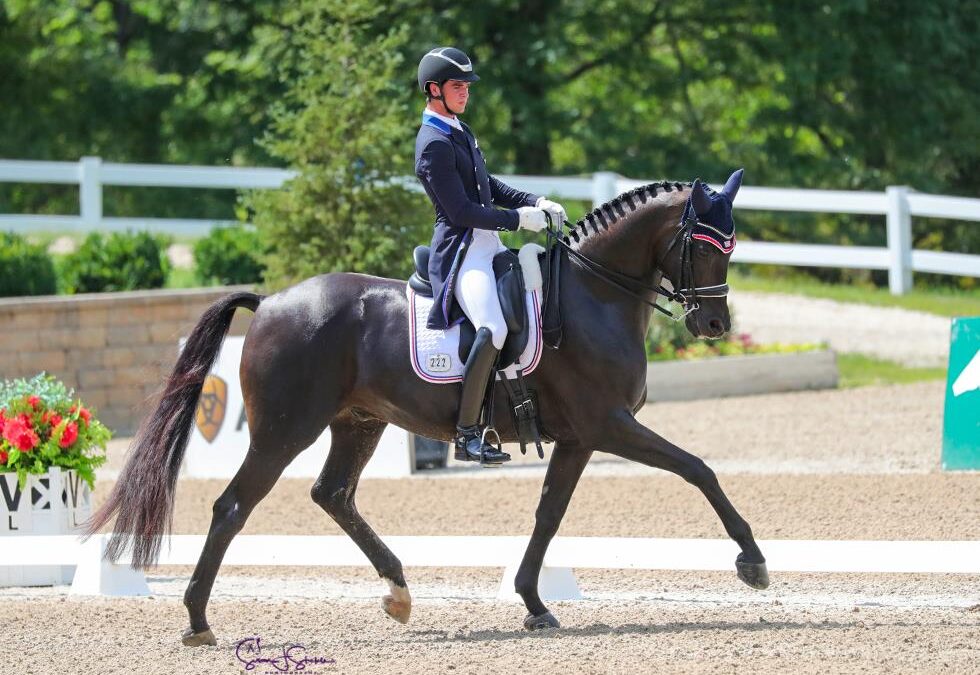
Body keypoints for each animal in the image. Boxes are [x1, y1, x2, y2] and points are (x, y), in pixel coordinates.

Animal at [88, 168, 768, 644]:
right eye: (704, 245)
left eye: (731, 246)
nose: (713, 324)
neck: (593, 291)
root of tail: (273, 301)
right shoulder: (610, 425)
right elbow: (699, 470)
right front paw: (753, 562)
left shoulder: (580, 437)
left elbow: (549, 515)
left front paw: (533, 602)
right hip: (285, 431)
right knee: (233, 507)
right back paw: (198, 621)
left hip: (357, 423)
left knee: (332, 494)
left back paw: (398, 592)